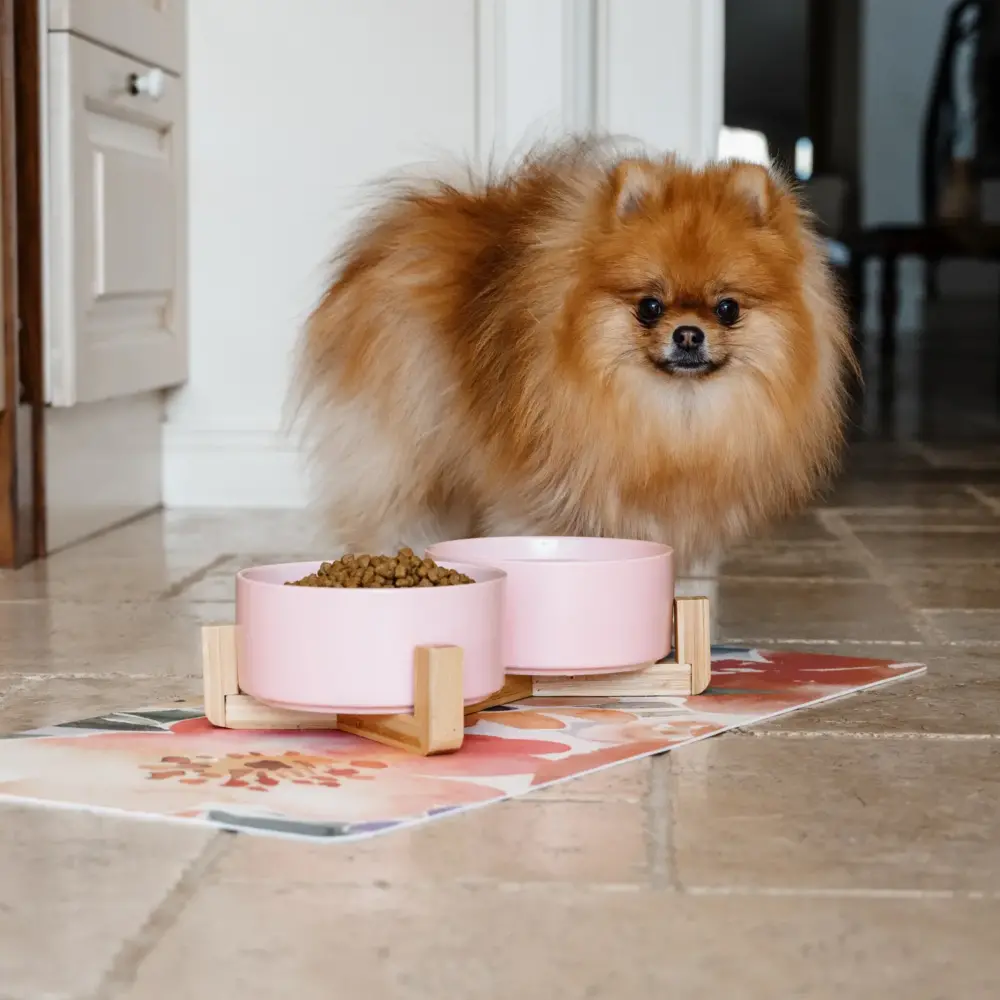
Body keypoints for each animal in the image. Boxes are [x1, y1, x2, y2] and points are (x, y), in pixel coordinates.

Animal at [292, 137, 856, 568]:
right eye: (650, 306)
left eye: (727, 308)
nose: (688, 334)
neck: (674, 420)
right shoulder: (537, 499)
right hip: (406, 447)